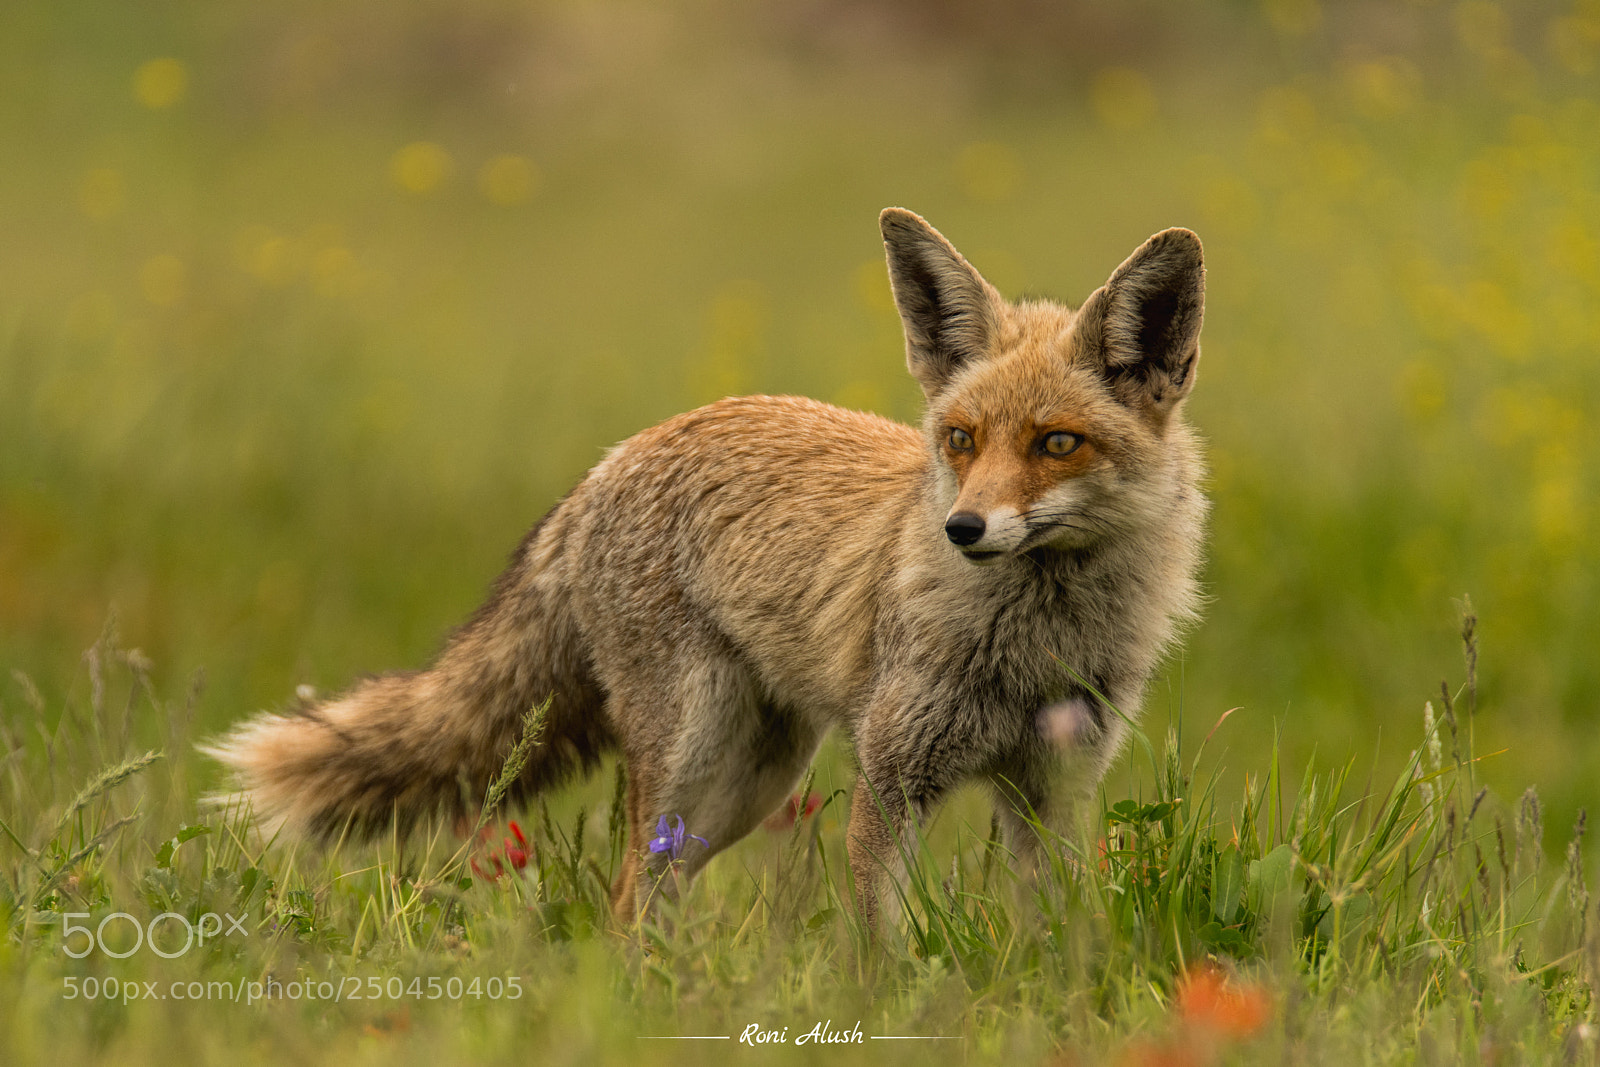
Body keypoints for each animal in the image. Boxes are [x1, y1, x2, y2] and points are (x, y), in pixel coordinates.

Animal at [206, 208, 1208, 928]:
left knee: (661, 892)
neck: (1033, 642)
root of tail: (611, 460)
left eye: (1057, 443)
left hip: (748, 785)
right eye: (961, 440)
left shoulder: (1053, 792)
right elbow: (879, 943)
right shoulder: (893, 782)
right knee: (626, 898)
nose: (964, 527)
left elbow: (1055, 938)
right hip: (693, 760)